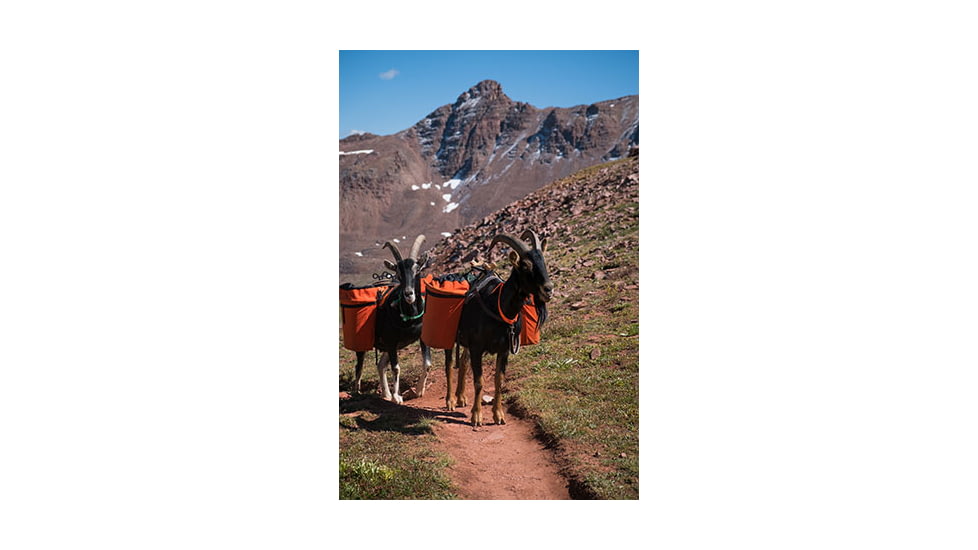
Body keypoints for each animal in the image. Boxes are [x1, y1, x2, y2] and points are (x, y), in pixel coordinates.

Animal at [352, 234, 432, 404]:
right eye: (398, 272)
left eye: (417, 270)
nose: (408, 294)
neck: (409, 316)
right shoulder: (391, 341)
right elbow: (396, 368)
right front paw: (397, 397)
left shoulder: (419, 338)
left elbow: (427, 363)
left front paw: (418, 391)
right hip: (366, 343)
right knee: (359, 365)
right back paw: (358, 392)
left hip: (388, 346)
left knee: (381, 365)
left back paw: (386, 394)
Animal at [444, 229, 553, 426]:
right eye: (525, 265)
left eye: (543, 261)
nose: (548, 289)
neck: (497, 304)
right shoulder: (477, 347)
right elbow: (479, 382)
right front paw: (477, 416)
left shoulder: (504, 350)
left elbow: (499, 380)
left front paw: (498, 415)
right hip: (450, 338)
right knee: (448, 366)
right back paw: (450, 401)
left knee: (463, 362)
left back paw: (461, 397)